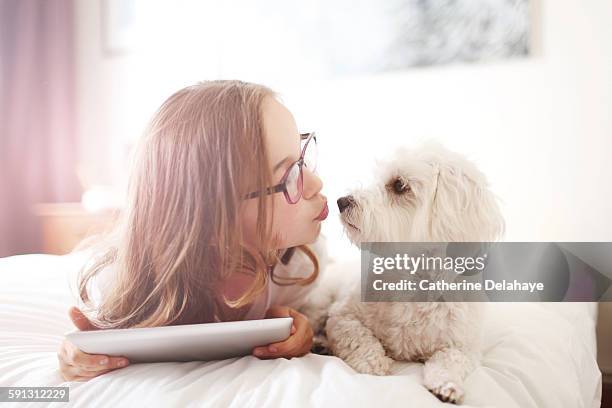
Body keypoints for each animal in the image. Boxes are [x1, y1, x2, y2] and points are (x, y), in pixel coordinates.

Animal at [326, 145, 502, 404]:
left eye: (399, 185)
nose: (342, 201)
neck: (417, 279)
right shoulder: (342, 316)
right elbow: (357, 337)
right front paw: (373, 362)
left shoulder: (464, 346)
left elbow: (451, 360)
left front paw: (447, 385)